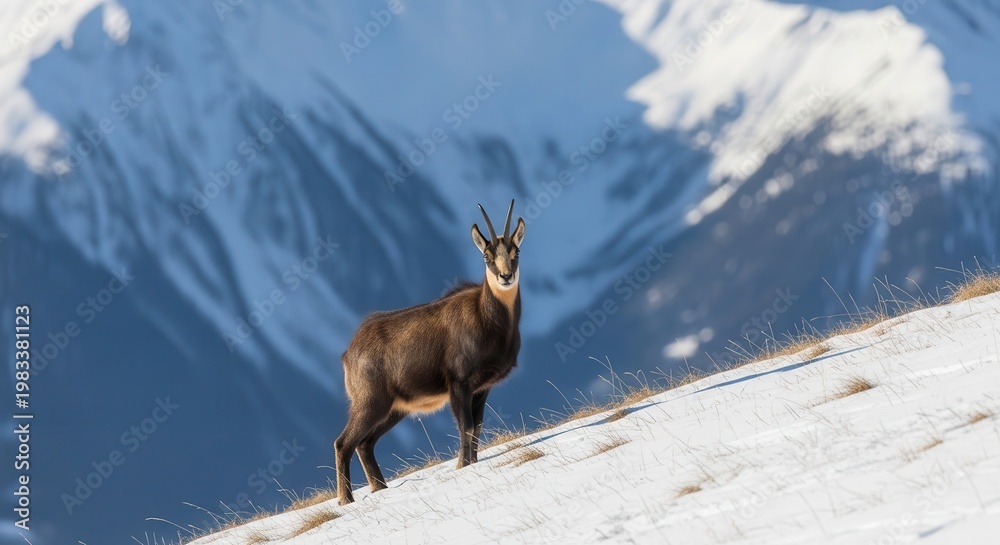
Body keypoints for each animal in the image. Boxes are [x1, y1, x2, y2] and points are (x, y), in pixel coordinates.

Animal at [335, 200, 526, 505]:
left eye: (515, 252)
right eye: (487, 256)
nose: (506, 276)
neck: (488, 319)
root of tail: (349, 353)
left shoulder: (482, 388)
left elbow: (477, 428)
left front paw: (471, 463)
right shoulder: (458, 382)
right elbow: (465, 426)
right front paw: (463, 466)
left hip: (394, 409)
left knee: (365, 444)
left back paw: (380, 488)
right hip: (370, 402)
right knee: (343, 443)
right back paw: (346, 500)